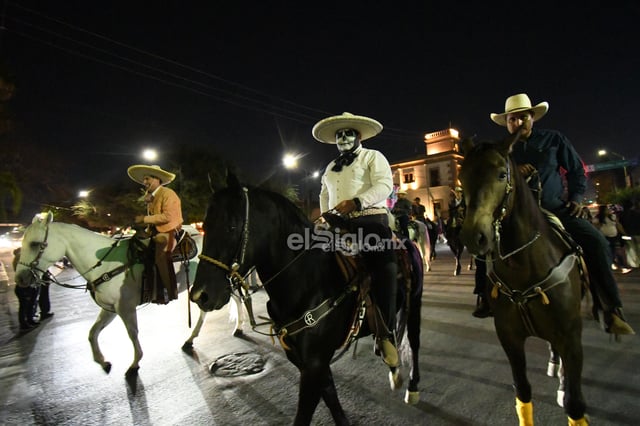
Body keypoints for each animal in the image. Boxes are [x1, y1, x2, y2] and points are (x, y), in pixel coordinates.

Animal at [14, 213, 248, 376]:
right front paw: (103, 361)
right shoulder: (109, 309)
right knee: (207, 310)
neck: (103, 264)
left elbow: (132, 333)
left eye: (35, 244)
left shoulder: (125, 307)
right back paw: (191, 338)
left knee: (236, 298)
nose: (21, 279)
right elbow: (92, 333)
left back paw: (239, 326)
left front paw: (135, 364)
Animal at [191, 174, 424, 426]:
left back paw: (412, 387)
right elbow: (331, 397)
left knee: (414, 342)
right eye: (204, 226)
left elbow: (304, 414)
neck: (306, 280)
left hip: (415, 305)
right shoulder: (307, 361)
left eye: (231, 226)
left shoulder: (314, 364)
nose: (199, 295)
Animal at [458, 136, 588, 426]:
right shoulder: (509, 337)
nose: (474, 236)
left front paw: (566, 389)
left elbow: (575, 405)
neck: (524, 264)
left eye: (501, 174)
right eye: (461, 177)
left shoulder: (571, 336)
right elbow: (523, 391)